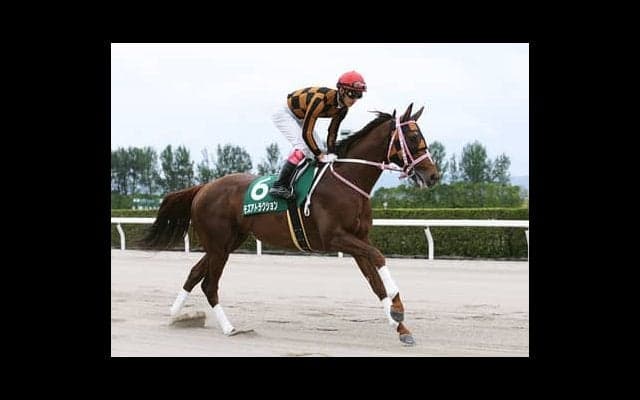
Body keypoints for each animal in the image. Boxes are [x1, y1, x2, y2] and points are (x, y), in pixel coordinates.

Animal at [141, 103, 439, 345]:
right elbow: (379, 257)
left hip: (226, 243)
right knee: (209, 284)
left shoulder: (359, 240)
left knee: (194, 274)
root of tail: (203, 188)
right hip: (218, 244)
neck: (347, 181)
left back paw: (174, 315)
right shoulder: (335, 238)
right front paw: (397, 309)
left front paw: (400, 328)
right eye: (414, 136)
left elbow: (375, 282)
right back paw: (229, 328)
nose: (433, 175)